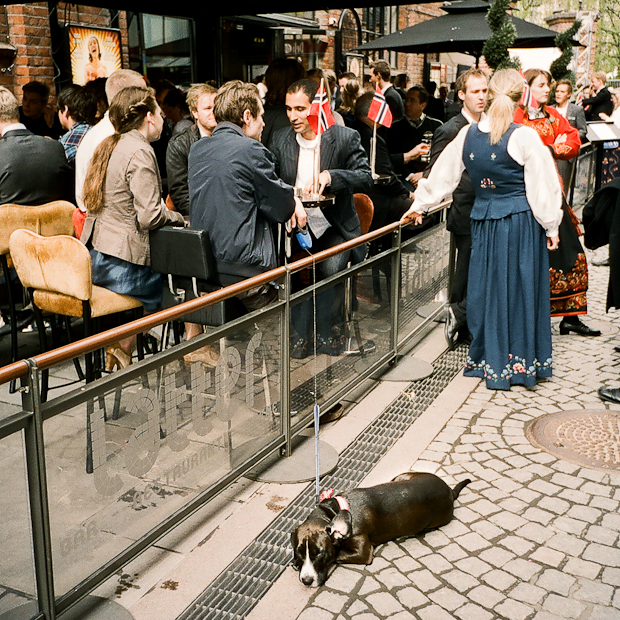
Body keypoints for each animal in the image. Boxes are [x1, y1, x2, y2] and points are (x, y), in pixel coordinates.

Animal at [290, 472, 470, 588]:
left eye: (320, 553)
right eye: (299, 552)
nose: (306, 581)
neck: (332, 511)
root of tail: (449, 490)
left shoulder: (363, 552)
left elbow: (337, 554)